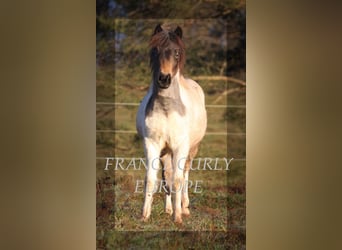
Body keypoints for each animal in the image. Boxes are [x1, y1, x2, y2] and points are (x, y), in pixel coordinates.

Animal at [137, 23, 207, 223]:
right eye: (155, 50)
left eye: (176, 52)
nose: (164, 79)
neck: (167, 109)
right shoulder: (152, 144)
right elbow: (152, 179)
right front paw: (145, 215)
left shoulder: (180, 146)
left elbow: (178, 179)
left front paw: (178, 217)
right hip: (165, 152)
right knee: (166, 174)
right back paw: (168, 209)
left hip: (191, 149)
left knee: (184, 174)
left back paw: (184, 207)